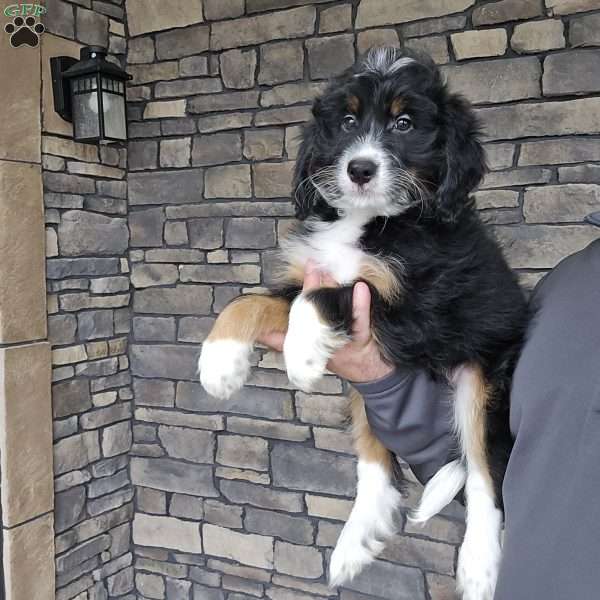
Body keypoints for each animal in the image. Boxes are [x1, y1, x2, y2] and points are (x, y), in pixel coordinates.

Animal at [199, 48, 528, 600]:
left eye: (404, 124)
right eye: (349, 122)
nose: (359, 168)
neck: (368, 219)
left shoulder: (413, 303)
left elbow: (322, 294)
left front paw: (301, 355)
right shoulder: (310, 272)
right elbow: (251, 300)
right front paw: (219, 363)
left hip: (483, 383)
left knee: (485, 476)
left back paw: (479, 568)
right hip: (366, 392)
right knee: (376, 467)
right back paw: (355, 543)